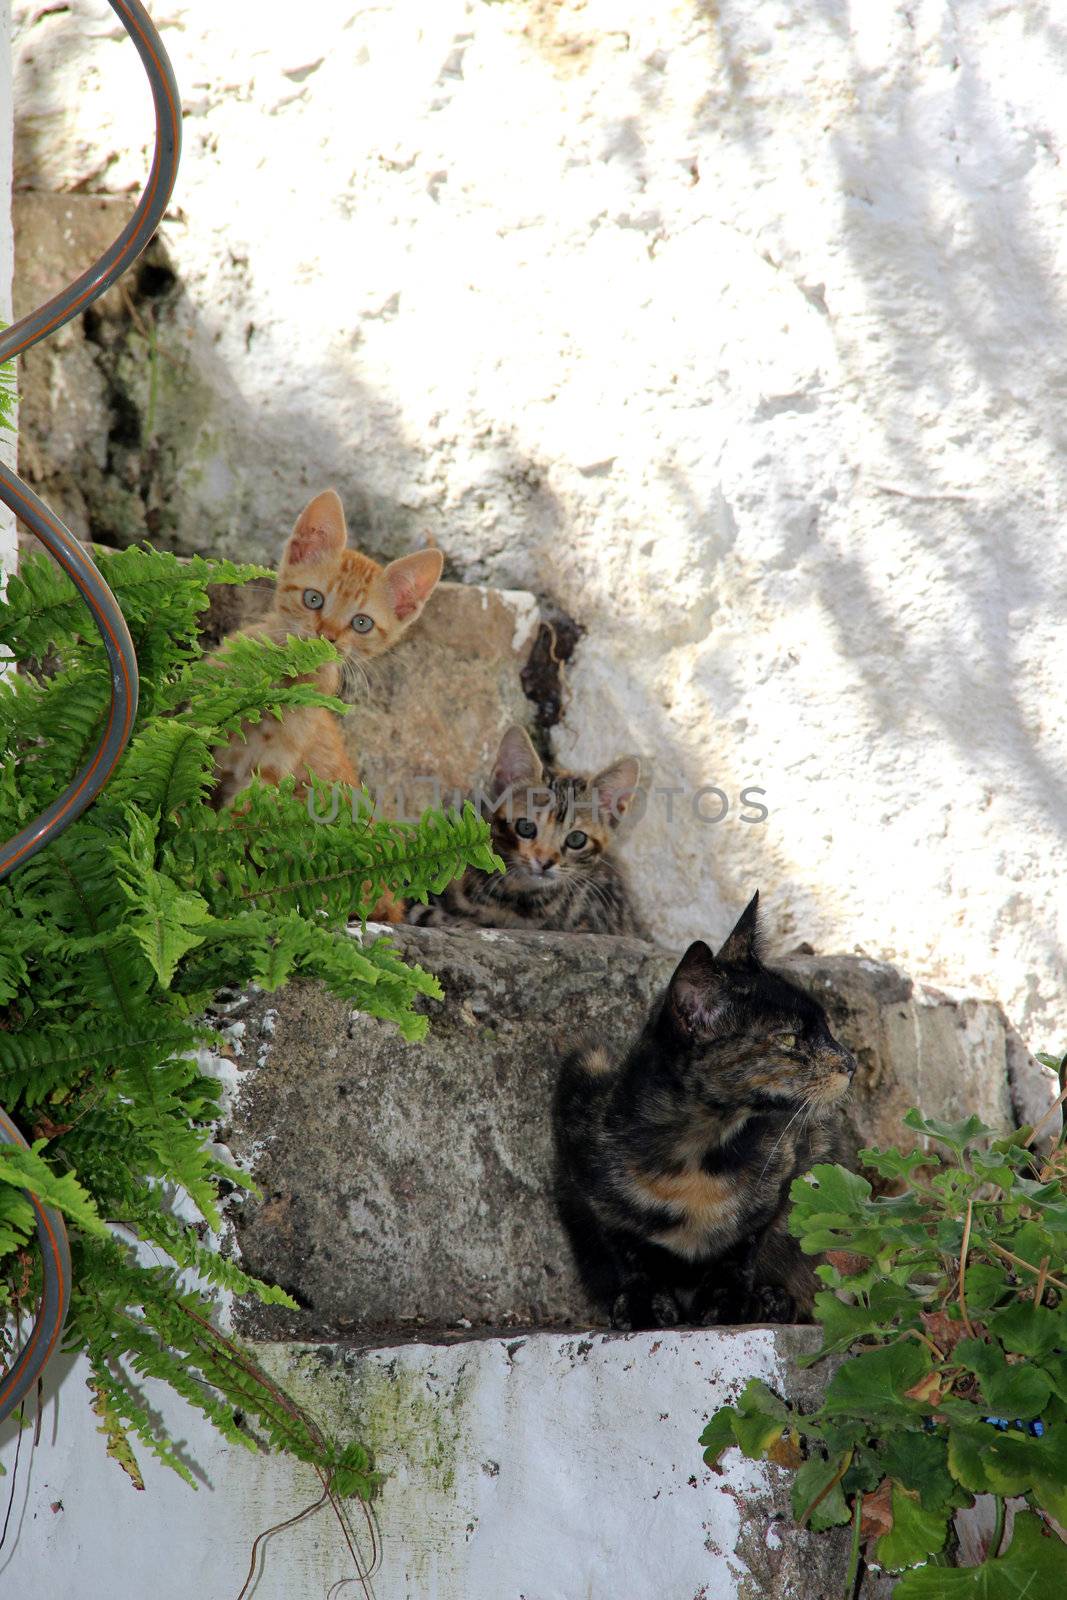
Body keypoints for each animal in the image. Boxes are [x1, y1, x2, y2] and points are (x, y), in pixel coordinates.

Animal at [556, 896, 857, 1331]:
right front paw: (643, 1306)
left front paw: (729, 1304)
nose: (851, 1063)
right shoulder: (580, 1112)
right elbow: (627, 1250)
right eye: (788, 1039)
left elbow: (741, 1248)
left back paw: (773, 1302)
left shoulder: (789, 1166)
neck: (698, 1152)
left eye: (827, 1027)